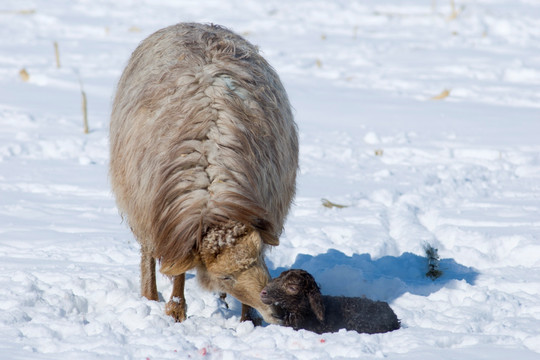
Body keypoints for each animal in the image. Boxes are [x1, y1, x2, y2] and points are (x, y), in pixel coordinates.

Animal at [107, 23, 298, 324]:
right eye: (226, 277)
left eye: (259, 258)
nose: (276, 310)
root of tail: (193, 23)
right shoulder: (173, 226)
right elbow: (177, 273)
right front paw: (175, 311)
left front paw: (248, 320)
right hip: (141, 206)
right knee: (148, 254)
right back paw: (149, 296)